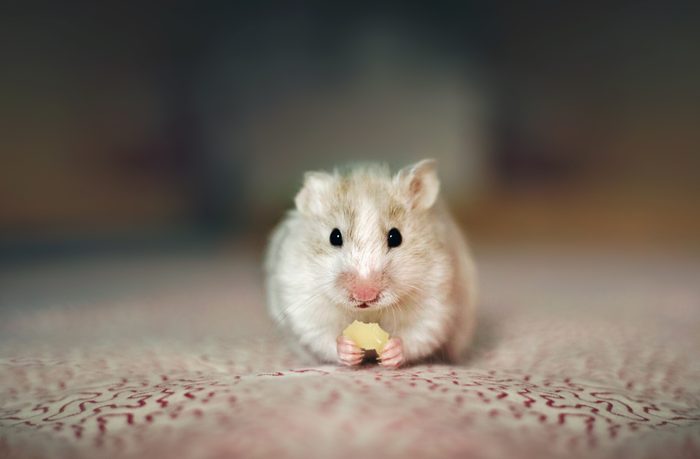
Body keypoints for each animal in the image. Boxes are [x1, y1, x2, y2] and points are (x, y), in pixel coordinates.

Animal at [264, 159, 477, 368]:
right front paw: (350, 351)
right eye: (334, 236)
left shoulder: (435, 303)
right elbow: (324, 337)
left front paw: (391, 352)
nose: (364, 295)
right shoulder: (304, 303)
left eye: (395, 237)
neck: (368, 314)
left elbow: (417, 335)